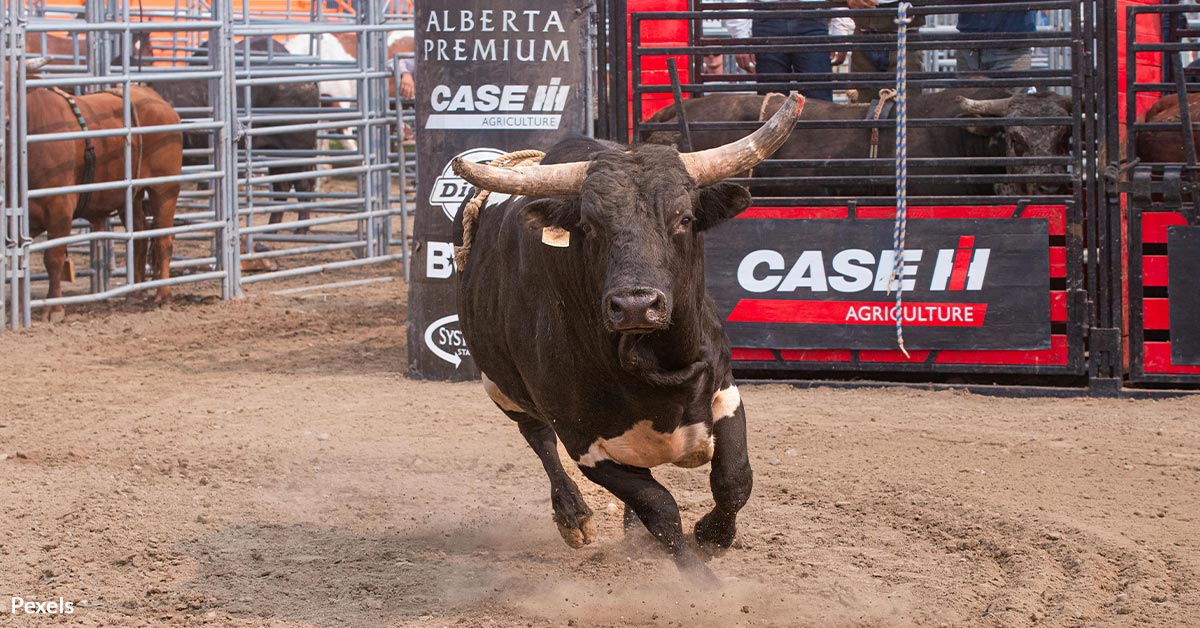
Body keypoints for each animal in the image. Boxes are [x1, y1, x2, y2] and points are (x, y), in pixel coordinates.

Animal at [22, 59, 184, 321]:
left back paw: (163, 296)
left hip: (164, 189)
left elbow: (53, 257)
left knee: (163, 239)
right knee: (139, 239)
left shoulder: (60, 208)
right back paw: (135, 293)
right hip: (132, 197)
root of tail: (159, 101)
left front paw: (54, 309)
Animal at [452, 93, 804, 585]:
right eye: (589, 225)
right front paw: (704, 583)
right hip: (498, 385)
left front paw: (713, 535)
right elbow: (660, 508)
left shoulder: (724, 392)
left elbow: (734, 479)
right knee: (537, 437)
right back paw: (573, 516)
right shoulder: (584, 441)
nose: (636, 305)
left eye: (684, 218)